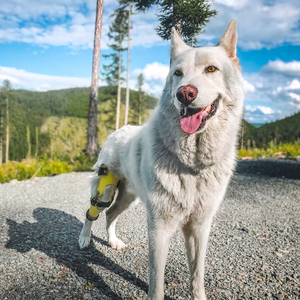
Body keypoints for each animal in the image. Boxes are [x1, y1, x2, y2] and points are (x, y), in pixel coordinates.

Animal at [79, 19, 244, 298]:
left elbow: (197, 276)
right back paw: (84, 238)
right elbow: (156, 282)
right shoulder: (159, 228)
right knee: (93, 212)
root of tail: (118, 130)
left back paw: (113, 241)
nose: (185, 93)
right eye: (177, 73)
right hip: (105, 190)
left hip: (129, 197)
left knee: (111, 215)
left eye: (211, 69)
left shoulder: (200, 227)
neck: (191, 165)